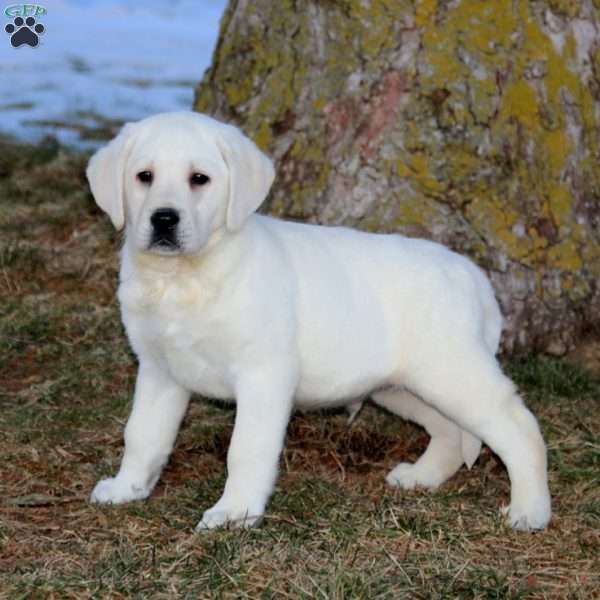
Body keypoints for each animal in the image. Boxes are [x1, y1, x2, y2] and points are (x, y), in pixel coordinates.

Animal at [86, 111, 552, 528]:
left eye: (199, 179)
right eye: (144, 176)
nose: (163, 218)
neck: (184, 277)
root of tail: (473, 275)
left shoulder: (263, 374)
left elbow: (245, 448)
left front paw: (235, 513)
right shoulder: (159, 370)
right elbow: (142, 435)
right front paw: (127, 488)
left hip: (452, 372)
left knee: (520, 428)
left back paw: (530, 511)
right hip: (404, 387)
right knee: (450, 433)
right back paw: (421, 478)